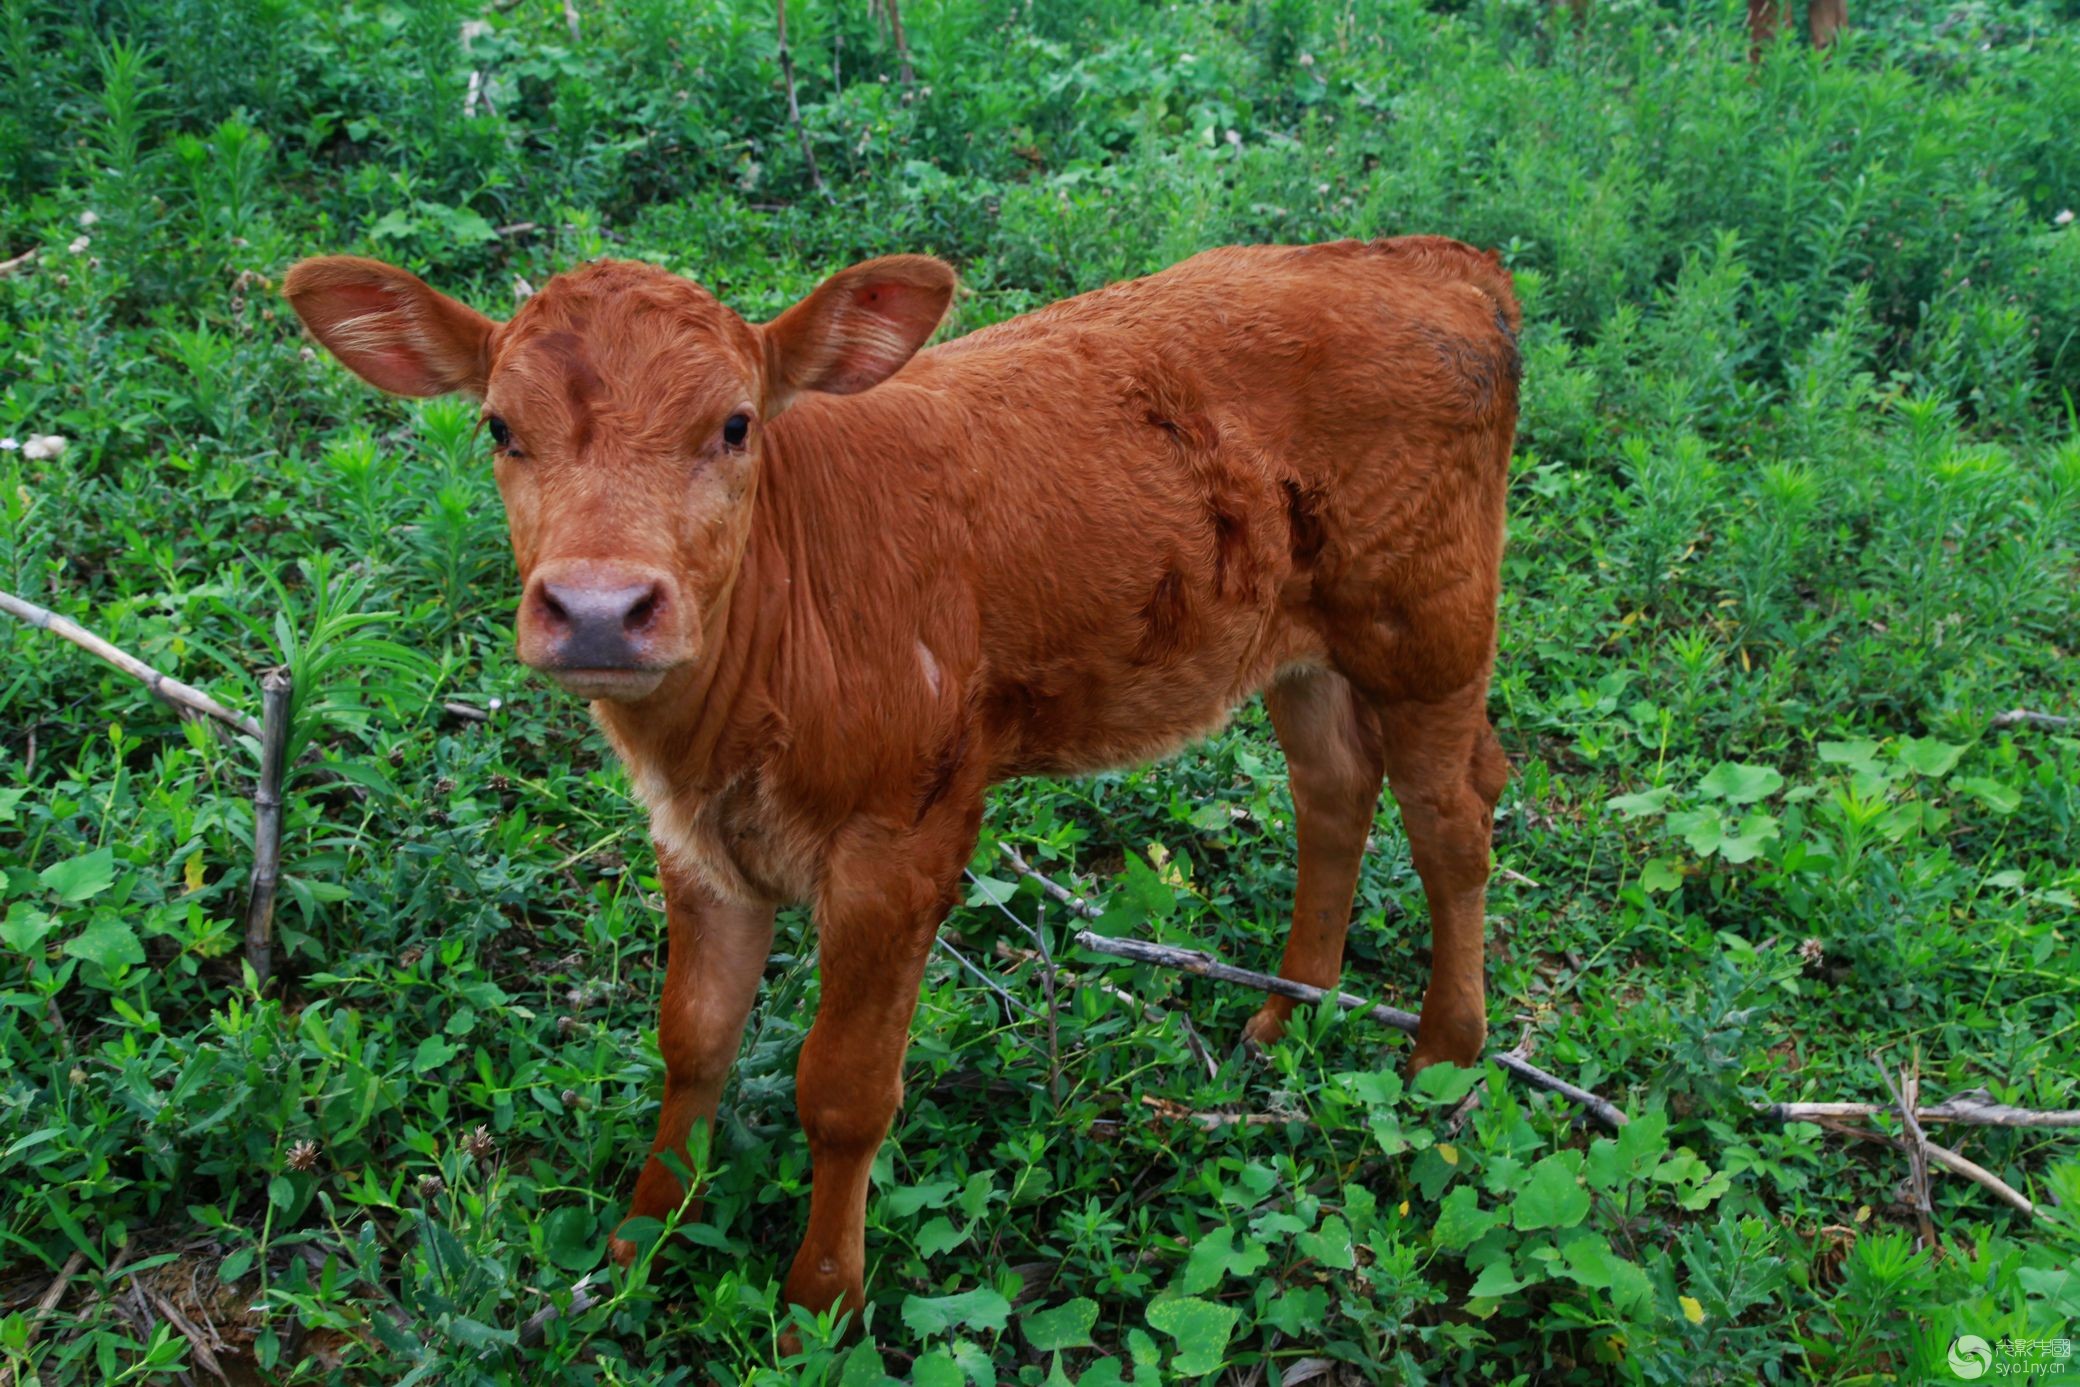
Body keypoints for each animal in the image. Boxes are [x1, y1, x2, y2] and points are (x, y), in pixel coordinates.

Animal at [284, 236, 1522, 1322]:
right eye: (500, 426)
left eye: (734, 424)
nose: (598, 606)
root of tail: (1436, 260)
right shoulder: (697, 842)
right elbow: (691, 1036)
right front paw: (639, 1243)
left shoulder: (906, 840)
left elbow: (842, 1092)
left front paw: (815, 1307)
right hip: (1296, 636)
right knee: (1333, 786)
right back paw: (1286, 1015)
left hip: (1432, 621)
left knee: (1454, 815)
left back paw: (1443, 1056)